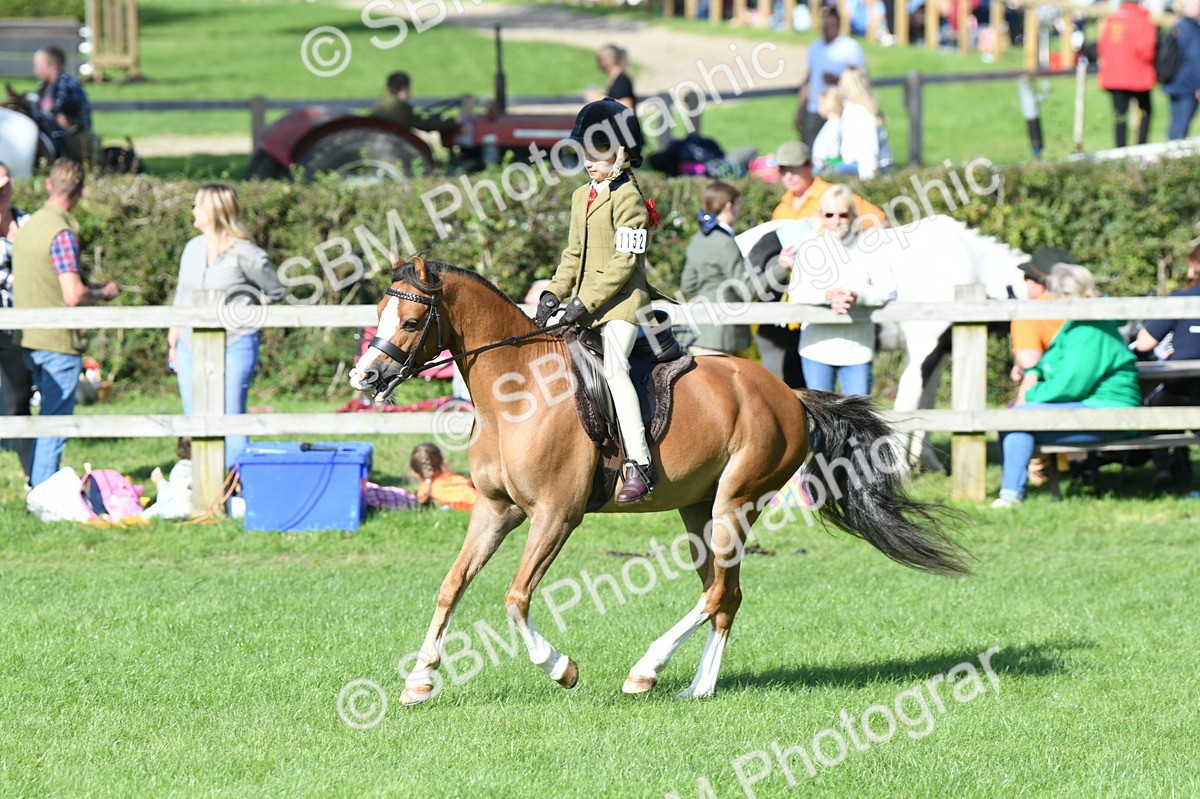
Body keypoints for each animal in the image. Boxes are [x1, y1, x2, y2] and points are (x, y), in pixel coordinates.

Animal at [349, 258, 970, 704]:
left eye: (410, 321)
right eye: (378, 311)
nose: (365, 376)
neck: (518, 390)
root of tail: (789, 394)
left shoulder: (555, 515)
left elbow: (516, 597)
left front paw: (562, 669)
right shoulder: (495, 510)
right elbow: (452, 586)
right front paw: (419, 680)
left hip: (735, 502)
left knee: (717, 593)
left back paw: (646, 670)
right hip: (700, 512)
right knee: (726, 595)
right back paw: (698, 688)